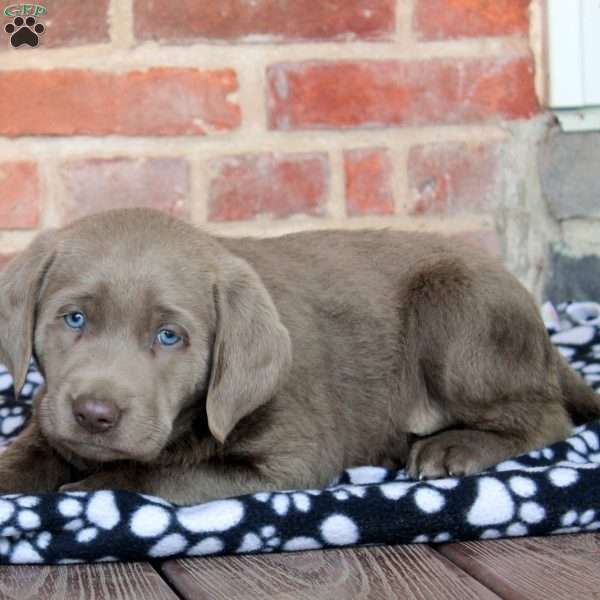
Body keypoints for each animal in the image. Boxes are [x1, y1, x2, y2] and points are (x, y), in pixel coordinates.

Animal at [0, 209, 596, 504]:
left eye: (169, 337)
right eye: (74, 319)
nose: (94, 414)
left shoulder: (292, 459)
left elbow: (157, 477)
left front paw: (88, 490)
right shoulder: (48, 421)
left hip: (458, 307)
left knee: (549, 417)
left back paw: (453, 449)